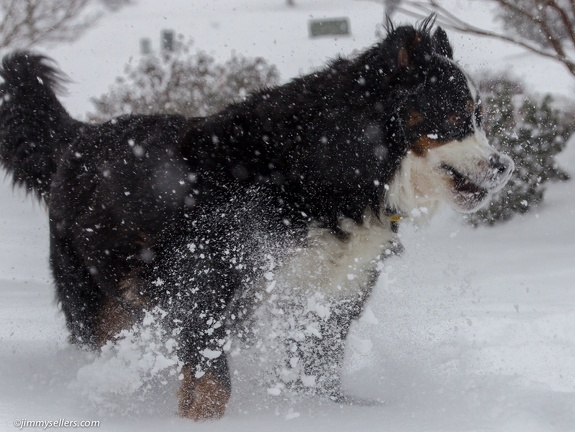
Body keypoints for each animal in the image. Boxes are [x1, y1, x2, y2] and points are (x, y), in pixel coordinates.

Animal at [0, 17, 512, 422]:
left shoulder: (335, 290)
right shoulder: (208, 277)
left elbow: (317, 366)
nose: (504, 166)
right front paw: (201, 418)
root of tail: (78, 137)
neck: (334, 165)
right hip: (95, 298)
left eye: (481, 116)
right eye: (455, 116)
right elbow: (211, 375)